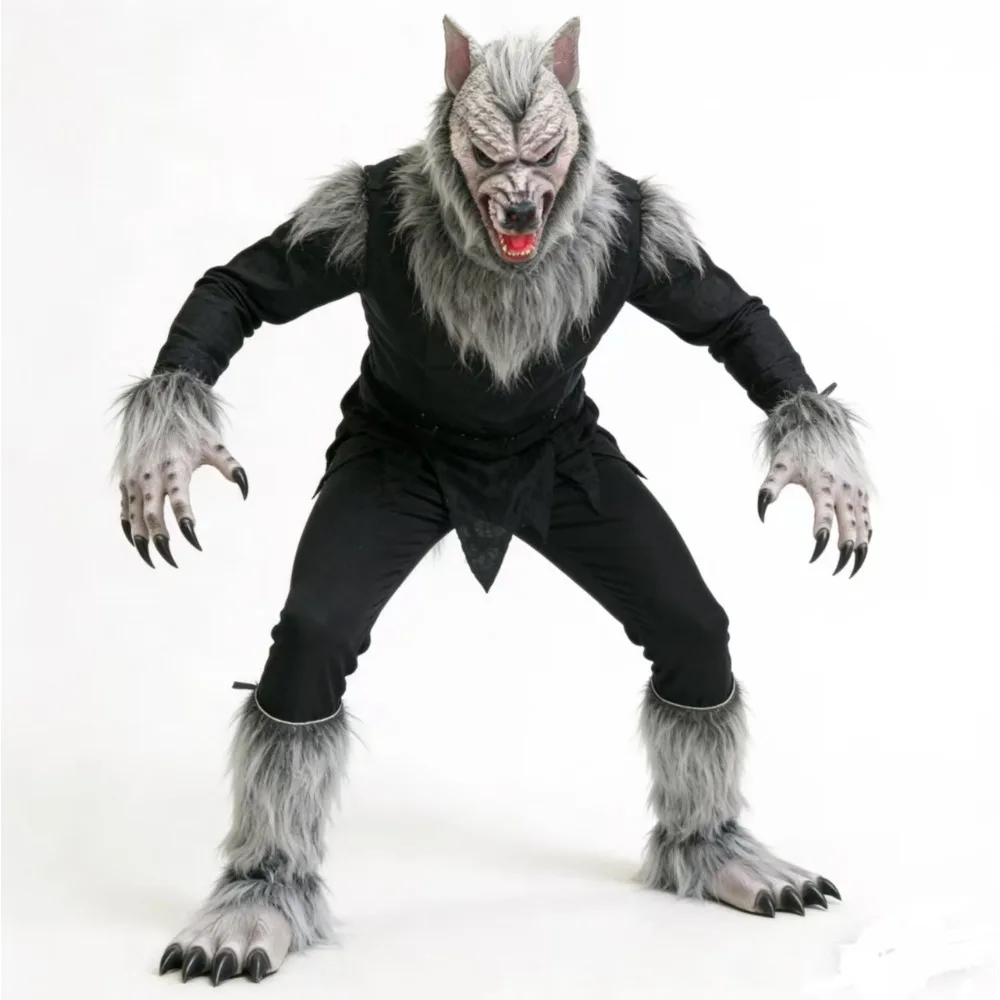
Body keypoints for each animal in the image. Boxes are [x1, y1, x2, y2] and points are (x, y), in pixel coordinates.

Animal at [113, 16, 871, 985]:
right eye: (483, 153)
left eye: (544, 154)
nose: (515, 209)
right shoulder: (350, 218)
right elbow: (237, 286)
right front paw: (167, 444)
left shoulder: (646, 236)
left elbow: (735, 318)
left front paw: (819, 455)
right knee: (303, 675)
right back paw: (257, 903)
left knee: (692, 643)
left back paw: (718, 855)